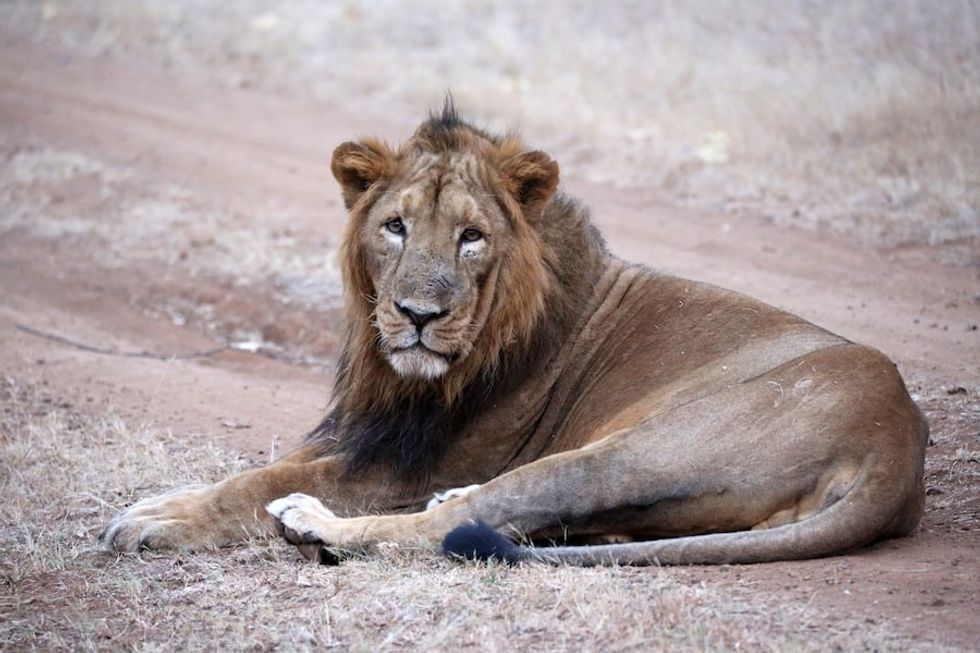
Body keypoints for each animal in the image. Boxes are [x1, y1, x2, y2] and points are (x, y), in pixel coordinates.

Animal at [99, 103, 928, 566]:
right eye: (395, 227)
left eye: (471, 237)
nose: (418, 315)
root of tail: (898, 444)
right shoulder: (373, 430)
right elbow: (255, 469)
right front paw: (158, 503)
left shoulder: (411, 462)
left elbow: (263, 483)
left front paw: (160, 523)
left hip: (628, 452)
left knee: (451, 525)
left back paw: (313, 522)